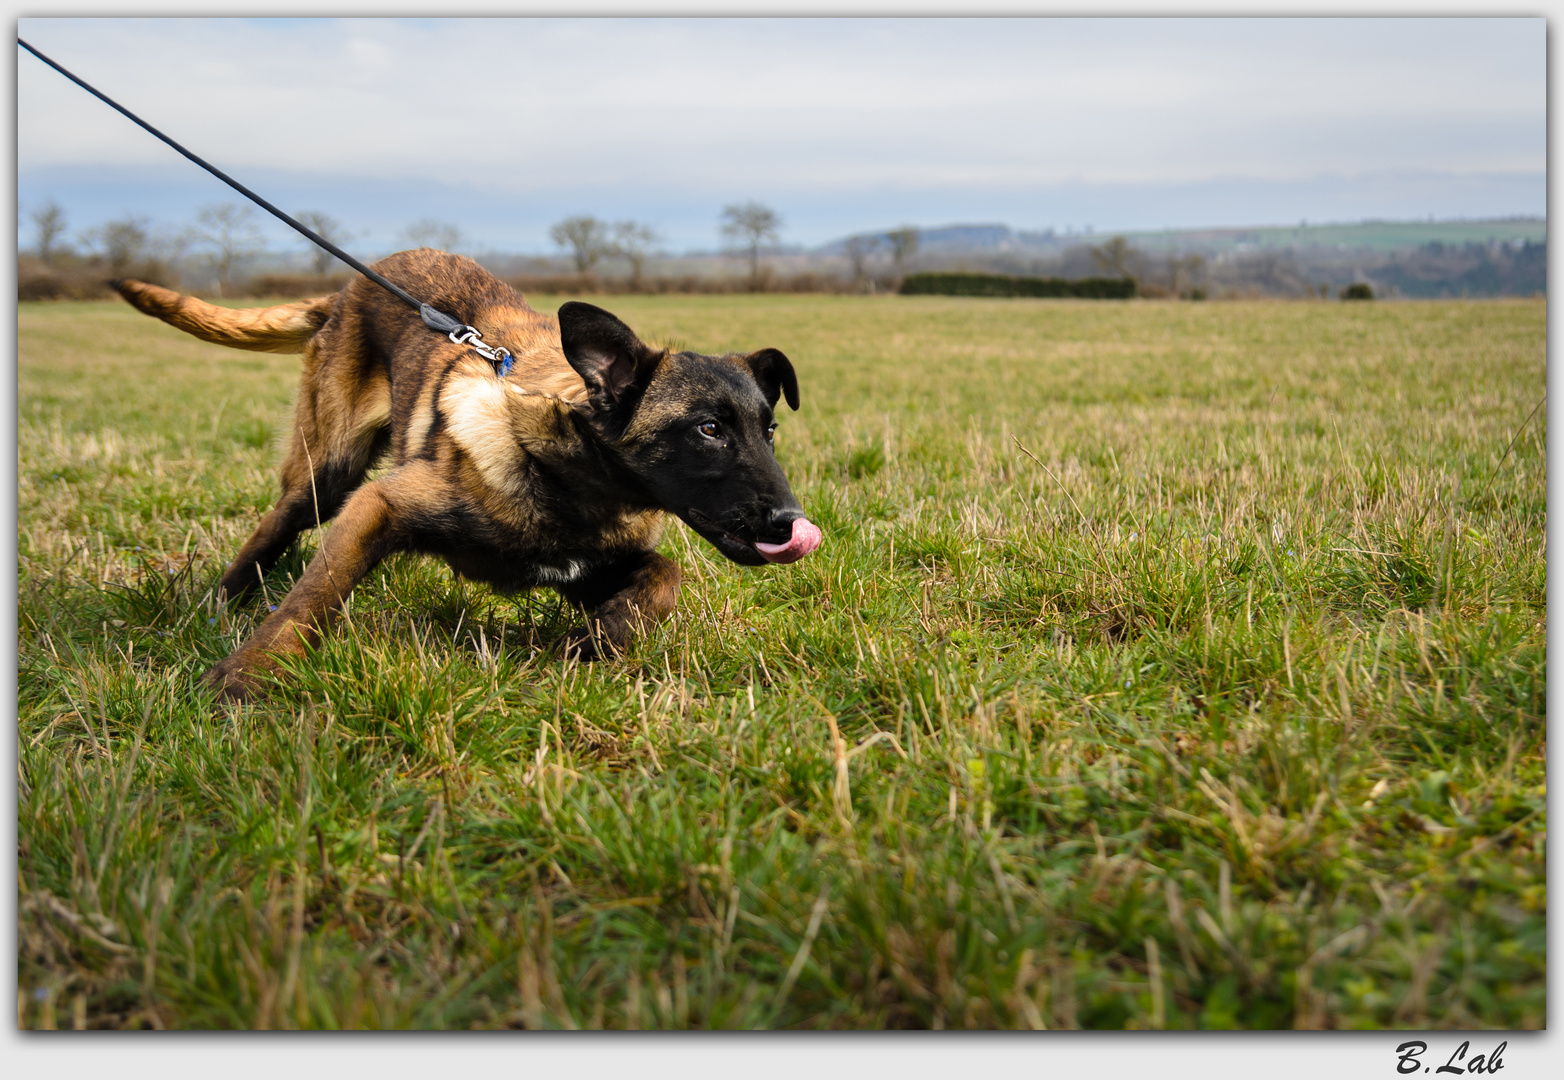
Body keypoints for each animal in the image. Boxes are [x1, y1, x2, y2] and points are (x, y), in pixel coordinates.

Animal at [115, 248, 825, 700]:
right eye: (708, 430)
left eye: (768, 431)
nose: (792, 524)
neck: (568, 484)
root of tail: (347, 288)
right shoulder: (378, 507)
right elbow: (310, 600)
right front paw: (246, 676)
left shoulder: (586, 570)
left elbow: (662, 578)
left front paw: (600, 639)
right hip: (329, 472)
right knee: (275, 527)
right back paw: (222, 603)